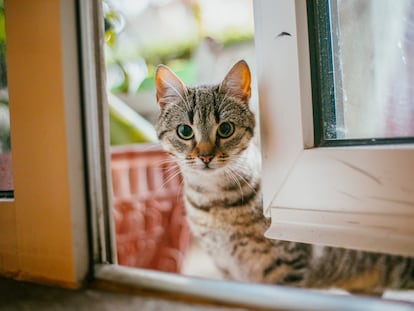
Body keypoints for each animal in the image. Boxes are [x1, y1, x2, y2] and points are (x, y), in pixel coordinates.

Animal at [154, 59, 414, 296]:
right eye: (185, 131)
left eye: (225, 129)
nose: (206, 156)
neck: (215, 202)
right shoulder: (228, 269)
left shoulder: (286, 265)